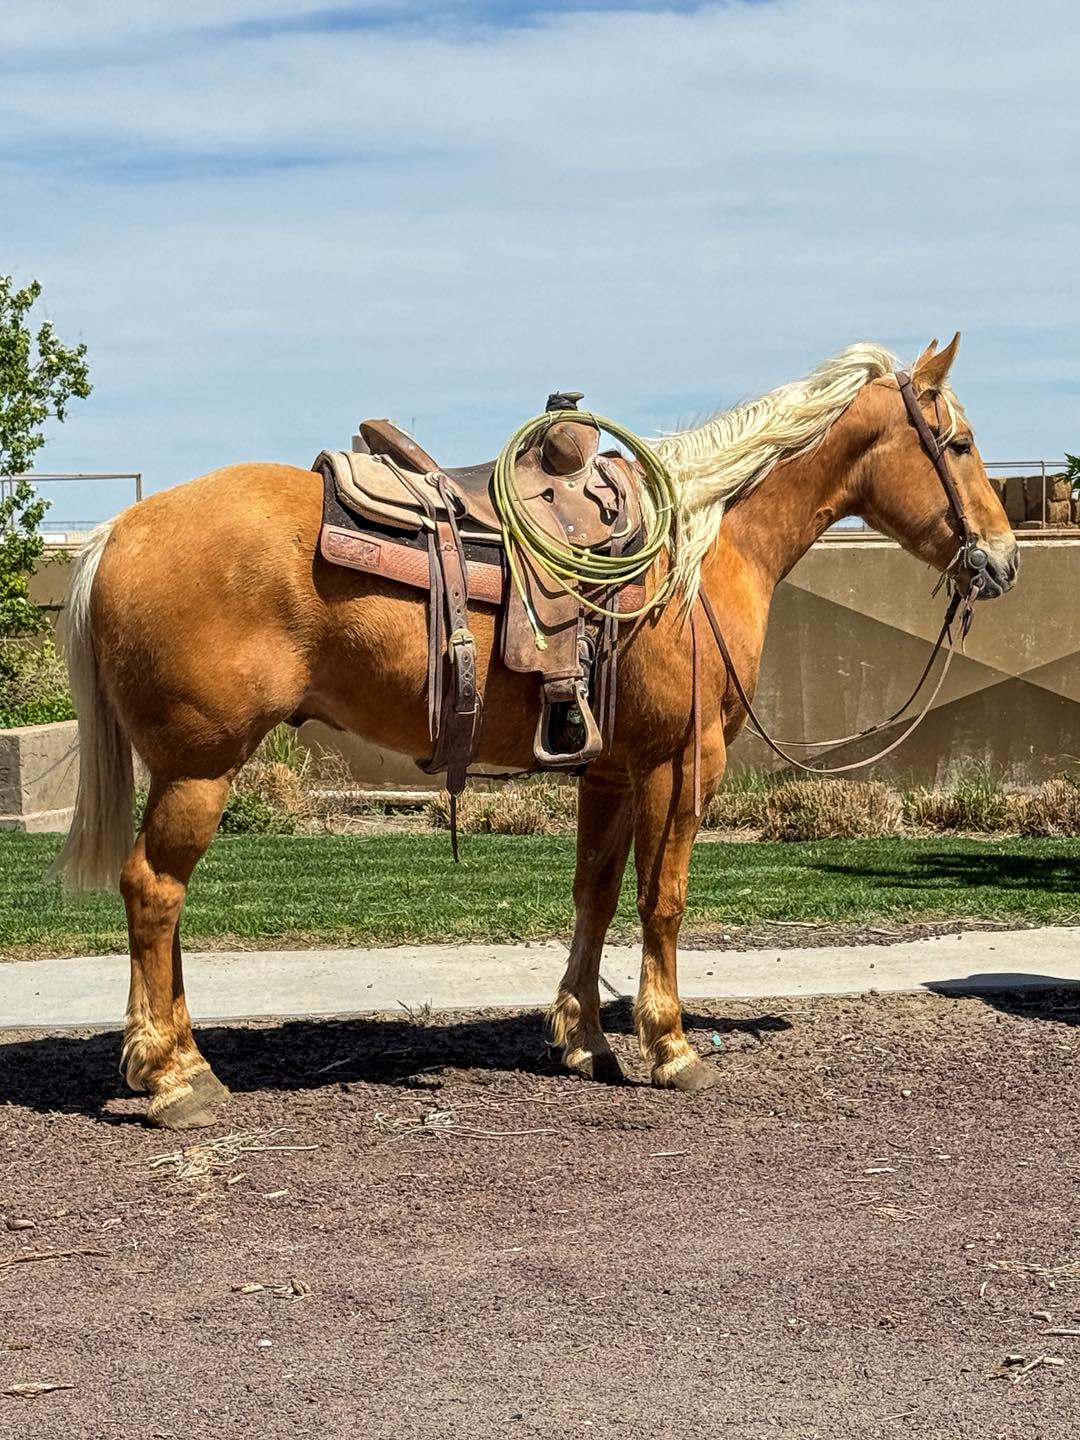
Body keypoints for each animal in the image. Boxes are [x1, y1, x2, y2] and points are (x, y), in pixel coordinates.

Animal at [52, 333, 1017, 1129]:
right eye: (960, 445)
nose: (1002, 562)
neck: (701, 552)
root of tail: (118, 531)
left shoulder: (612, 769)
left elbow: (595, 893)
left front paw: (585, 1040)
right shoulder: (682, 761)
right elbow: (662, 900)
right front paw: (671, 1048)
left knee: (166, 905)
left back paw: (183, 1056)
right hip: (199, 767)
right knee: (155, 891)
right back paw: (171, 1079)